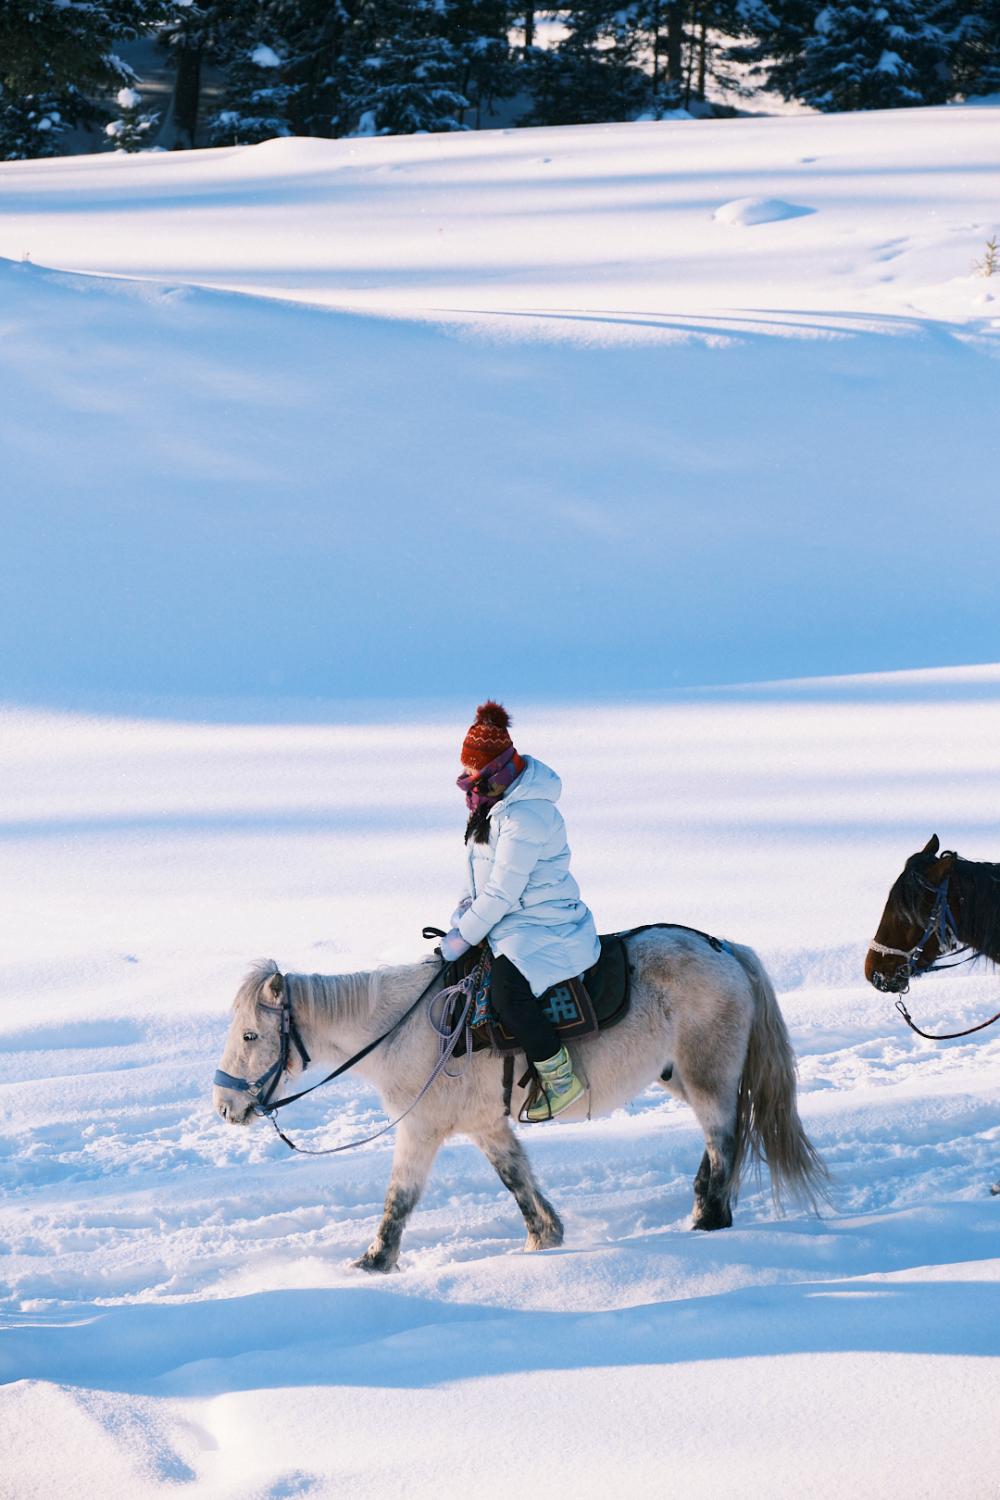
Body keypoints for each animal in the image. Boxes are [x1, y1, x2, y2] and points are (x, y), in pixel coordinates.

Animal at [213, 928, 828, 1272]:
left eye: (250, 1035)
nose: (224, 1107)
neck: (402, 1029)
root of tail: (726, 950)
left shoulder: (420, 1130)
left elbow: (399, 1200)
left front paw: (373, 1263)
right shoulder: (486, 1125)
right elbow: (517, 1180)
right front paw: (545, 1238)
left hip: (706, 1075)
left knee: (724, 1139)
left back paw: (709, 1222)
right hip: (679, 1075)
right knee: (718, 1139)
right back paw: (701, 1210)